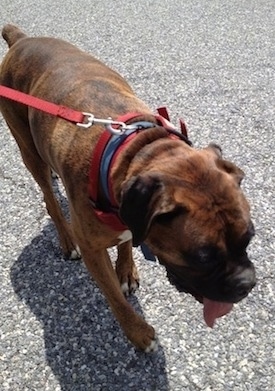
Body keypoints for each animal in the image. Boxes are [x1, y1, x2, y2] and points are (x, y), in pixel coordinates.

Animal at [0, 26, 256, 354]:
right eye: (203, 257)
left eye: (249, 238)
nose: (247, 284)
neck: (134, 149)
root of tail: (21, 39)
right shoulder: (93, 250)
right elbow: (115, 298)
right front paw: (139, 333)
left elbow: (126, 243)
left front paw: (127, 269)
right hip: (28, 149)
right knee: (49, 199)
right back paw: (65, 238)